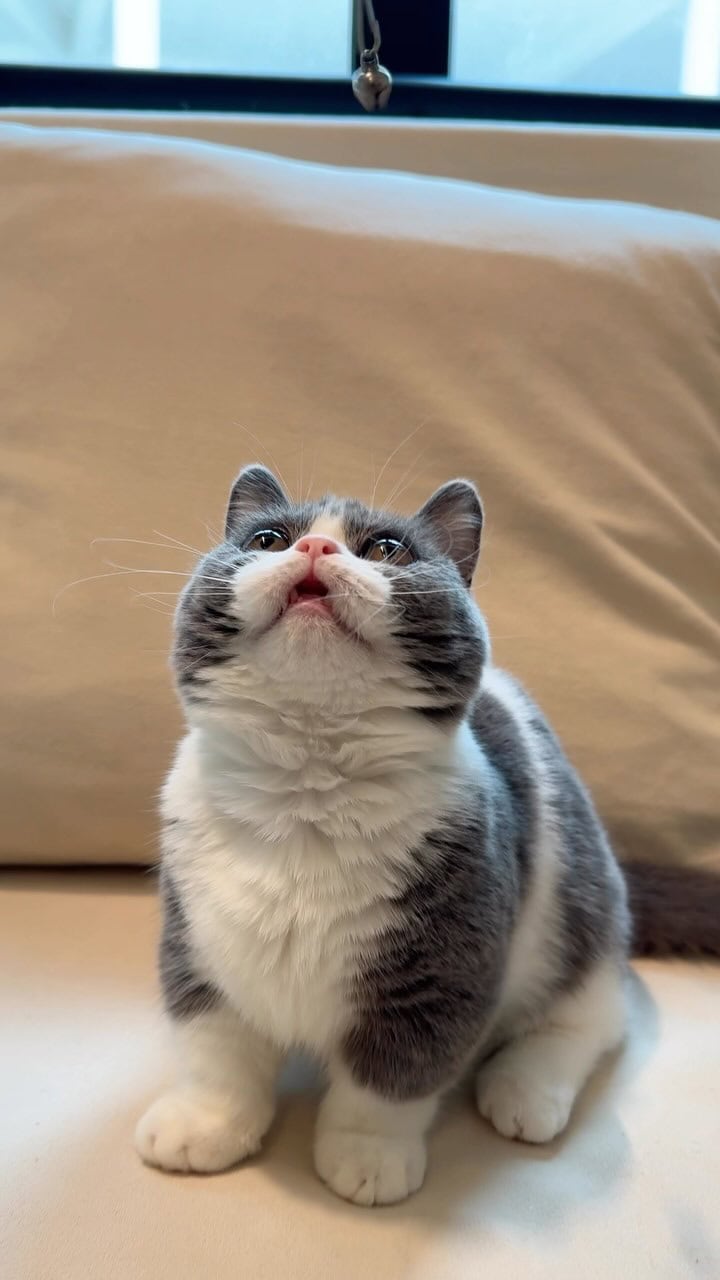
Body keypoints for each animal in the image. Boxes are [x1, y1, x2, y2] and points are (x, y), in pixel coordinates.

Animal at [135, 463, 719, 1206]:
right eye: (268, 539)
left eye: (386, 548)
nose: (317, 550)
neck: (306, 793)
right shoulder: (198, 941)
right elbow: (217, 1050)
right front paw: (204, 1124)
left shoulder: (443, 970)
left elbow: (390, 1079)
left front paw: (367, 1157)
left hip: (576, 902)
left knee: (597, 1014)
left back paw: (526, 1087)